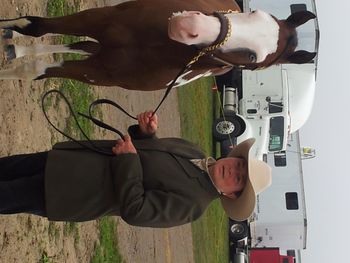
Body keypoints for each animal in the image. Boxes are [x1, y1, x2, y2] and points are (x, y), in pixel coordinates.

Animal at [0, 0, 318, 91]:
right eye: (253, 12)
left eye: (252, 58)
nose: (187, 25)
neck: (155, 45)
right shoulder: (97, 19)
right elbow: (34, 26)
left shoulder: (99, 74)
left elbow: (34, 70)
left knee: (81, 48)